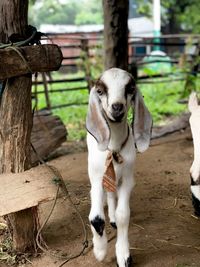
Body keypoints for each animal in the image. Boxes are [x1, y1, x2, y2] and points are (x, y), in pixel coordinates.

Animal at [85, 68, 152, 266]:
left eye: (130, 89)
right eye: (100, 91)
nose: (117, 107)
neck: (113, 147)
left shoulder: (128, 179)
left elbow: (123, 215)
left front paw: (123, 255)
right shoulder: (96, 178)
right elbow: (96, 217)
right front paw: (99, 251)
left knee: (112, 195)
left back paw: (113, 218)